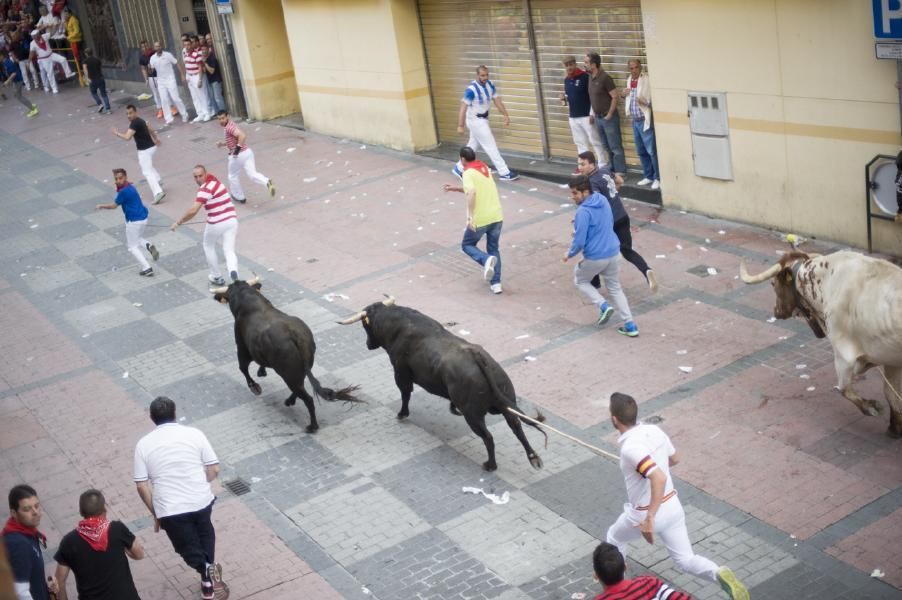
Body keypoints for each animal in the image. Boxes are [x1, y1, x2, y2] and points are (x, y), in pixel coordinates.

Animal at [214, 282, 362, 432]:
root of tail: (294, 335)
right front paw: (262, 371)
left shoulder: (242, 348)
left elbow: (243, 368)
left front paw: (254, 387)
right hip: (300, 370)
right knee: (300, 387)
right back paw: (290, 401)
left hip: (288, 375)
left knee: (307, 398)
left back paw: (312, 426)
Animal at [340, 302, 548, 472]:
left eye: (365, 325)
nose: (368, 344)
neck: (399, 325)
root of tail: (477, 356)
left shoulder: (400, 373)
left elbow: (405, 394)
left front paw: (402, 414)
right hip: (506, 401)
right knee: (516, 426)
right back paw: (533, 457)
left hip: (472, 415)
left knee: (488, 437)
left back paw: (490, 465)